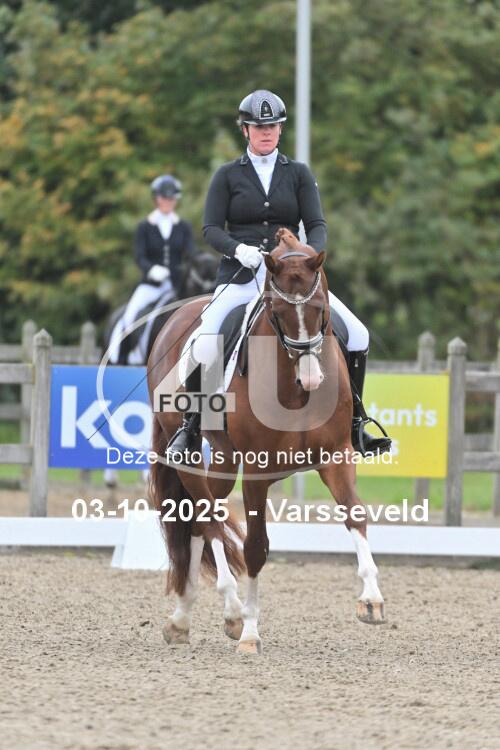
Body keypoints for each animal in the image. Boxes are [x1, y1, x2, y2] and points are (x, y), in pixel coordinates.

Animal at [147, 227, 385, 654]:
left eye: (321, 308)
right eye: (276, 310)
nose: (311, 378)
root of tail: (177, 316)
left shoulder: (336, 456)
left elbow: (355, 514)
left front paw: (371, 600)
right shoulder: (257, 472)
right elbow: (256, 547)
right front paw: (250, 632)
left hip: (224, 460)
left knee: (198, 523)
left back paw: (183, 619)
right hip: (190, 456)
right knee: (206, 516)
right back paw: (230, 610)